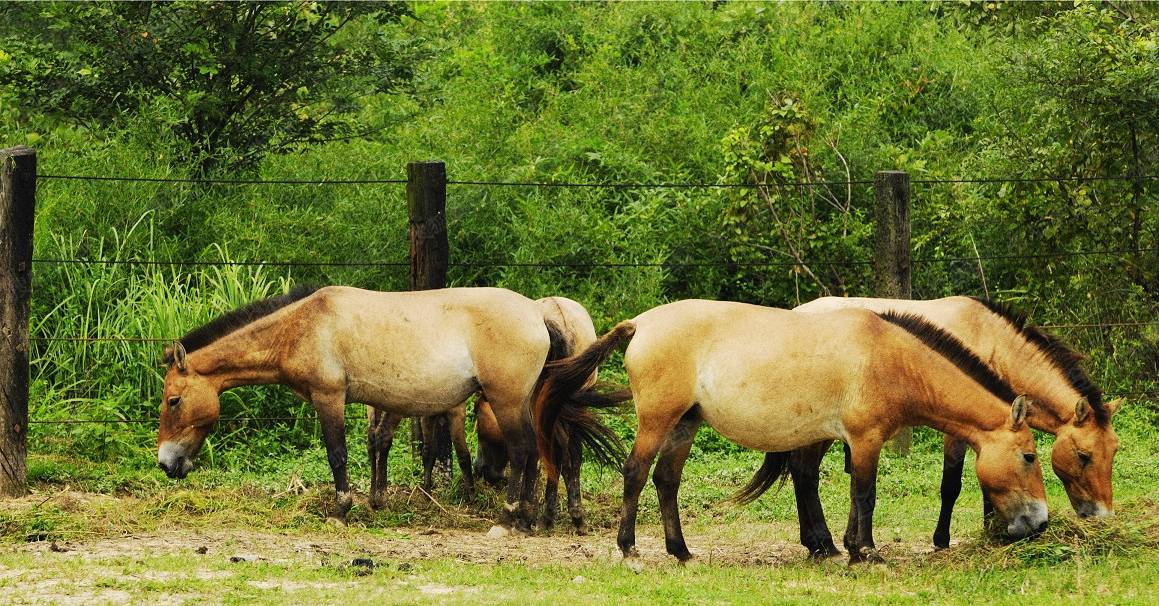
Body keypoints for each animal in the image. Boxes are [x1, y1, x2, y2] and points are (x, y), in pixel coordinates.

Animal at [158, 286, 621, 535]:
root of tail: (539, 313)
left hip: (506, 401)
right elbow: (375, 444)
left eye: (173, 400)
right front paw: (372, 501)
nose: (166, 463)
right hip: (532, 401)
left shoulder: (329, 398)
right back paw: (536, 518)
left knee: (525, 451)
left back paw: (510, 519)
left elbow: (338, 455)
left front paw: (341, 510)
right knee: (545, 453)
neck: (305, 326)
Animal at [533, 301, 1052, 567]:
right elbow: (865, 494)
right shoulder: (865, 439)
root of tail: (641, 323)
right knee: (636, 474)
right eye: (1029, 456)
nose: (1041, 522)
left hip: (685, 423)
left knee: (665, 481)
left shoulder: (847, 440)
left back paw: (681, 551)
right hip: (659, 421)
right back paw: (629, 549)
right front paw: (864, 551)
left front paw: (844, 547)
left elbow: (848, 492)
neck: (890, 357)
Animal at [774, 296, 1117, 558]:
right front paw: (943, 540)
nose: (1102, 517)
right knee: (805, 475)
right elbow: (951, 485)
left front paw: (992, 529)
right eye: (1084, 456)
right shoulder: (958, 432)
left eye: (1113, 454)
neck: (990, 341)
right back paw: (821, 544)